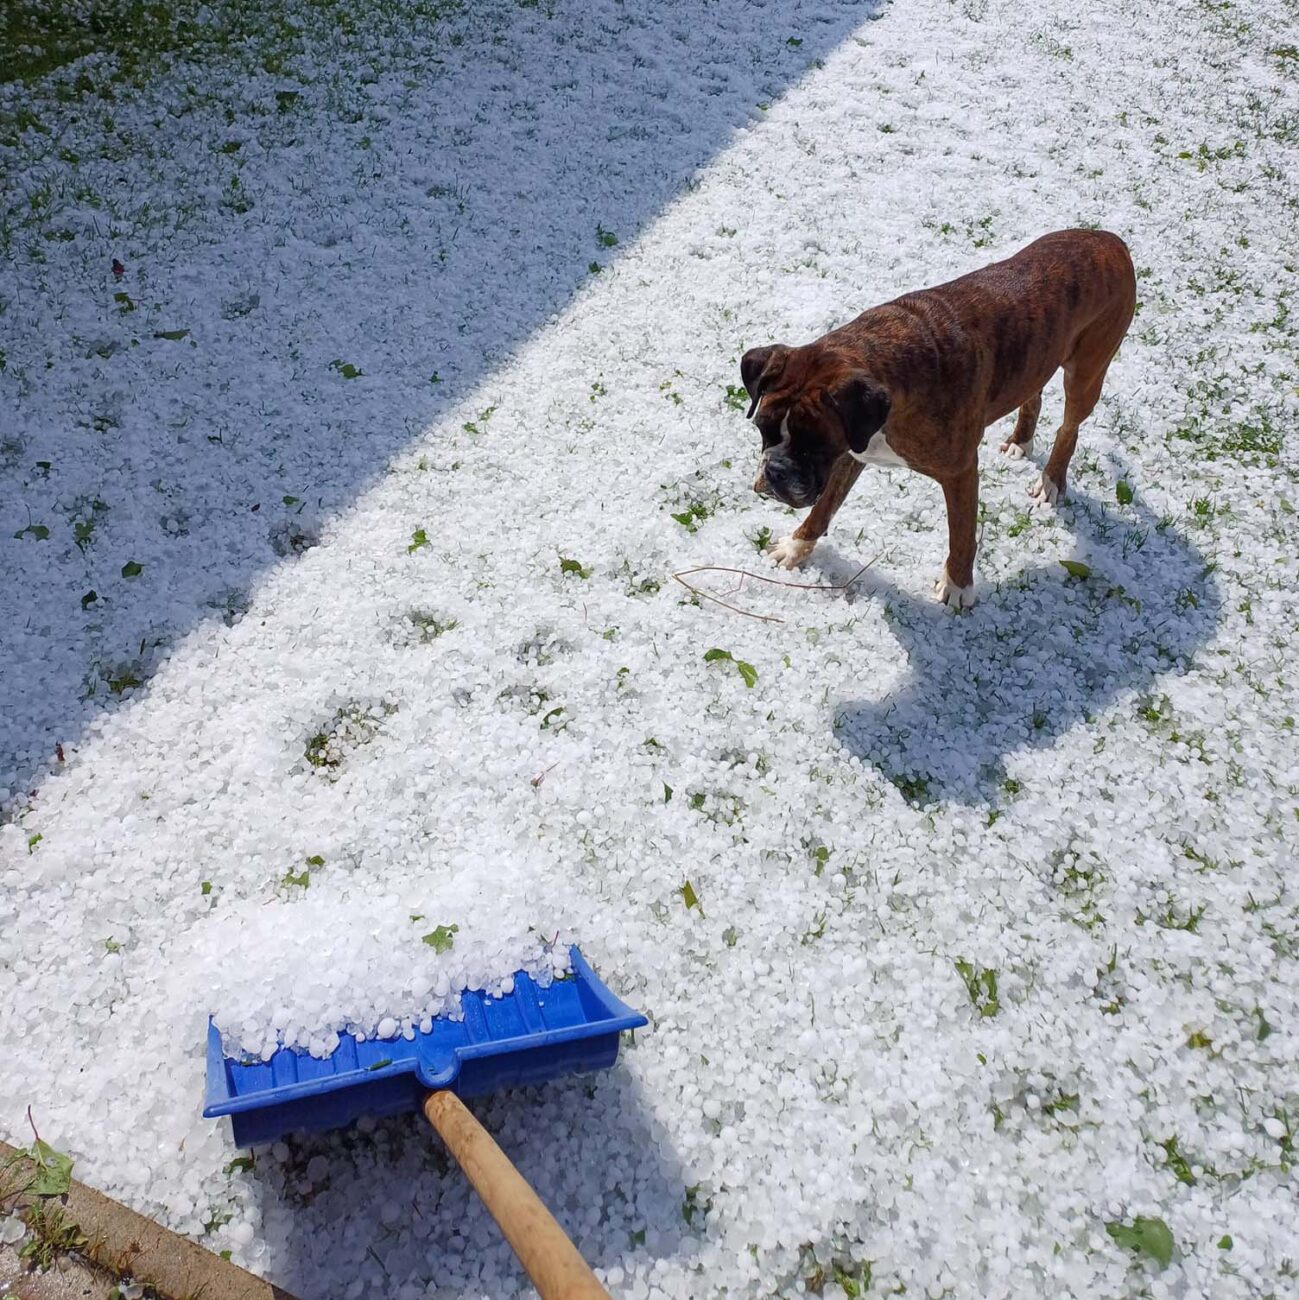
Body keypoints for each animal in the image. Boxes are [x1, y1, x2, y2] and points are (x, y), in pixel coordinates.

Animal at [743, 230, 1139, 608]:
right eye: (762, 429)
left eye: (814, 445)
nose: (775, 471)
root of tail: (1110, 240)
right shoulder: (852, 454)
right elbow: (825, 507)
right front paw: (796, 546)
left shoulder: (959, 472)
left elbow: (962, 535)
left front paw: (958, 587)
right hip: (1038, 355)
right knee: (1033, 392)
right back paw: (1020, 441)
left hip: (1086, 372)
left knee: (1069, 426)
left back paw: (1051, 480)